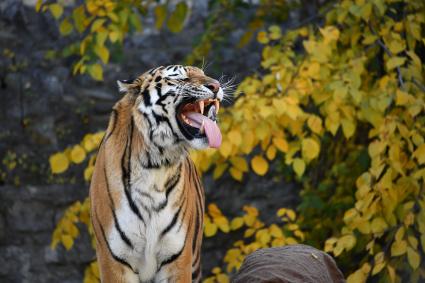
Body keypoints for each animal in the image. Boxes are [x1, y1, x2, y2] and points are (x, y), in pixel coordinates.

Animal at [88, 65, 224, 283]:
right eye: (181, 77)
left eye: (203, 73)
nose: (216, 85)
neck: (155, 165)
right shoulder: (115, 261)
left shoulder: (177, 258)